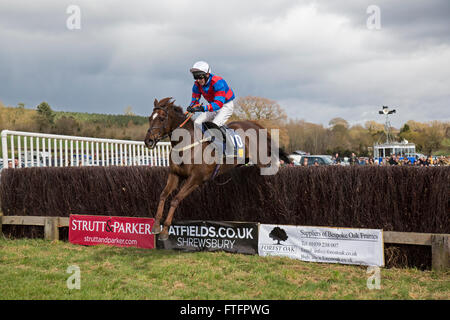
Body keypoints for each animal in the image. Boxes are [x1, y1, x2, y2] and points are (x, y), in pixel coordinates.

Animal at [145, 97, 292, 240]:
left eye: (162, 118)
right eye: (150, 118)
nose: (148, 141)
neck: (187, 144)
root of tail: (256, 125)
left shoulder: (196, 179)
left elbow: (175, 199)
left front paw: (165, 230)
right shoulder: (175, 174)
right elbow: (163, 195)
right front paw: (156, 225)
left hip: (263, 161)